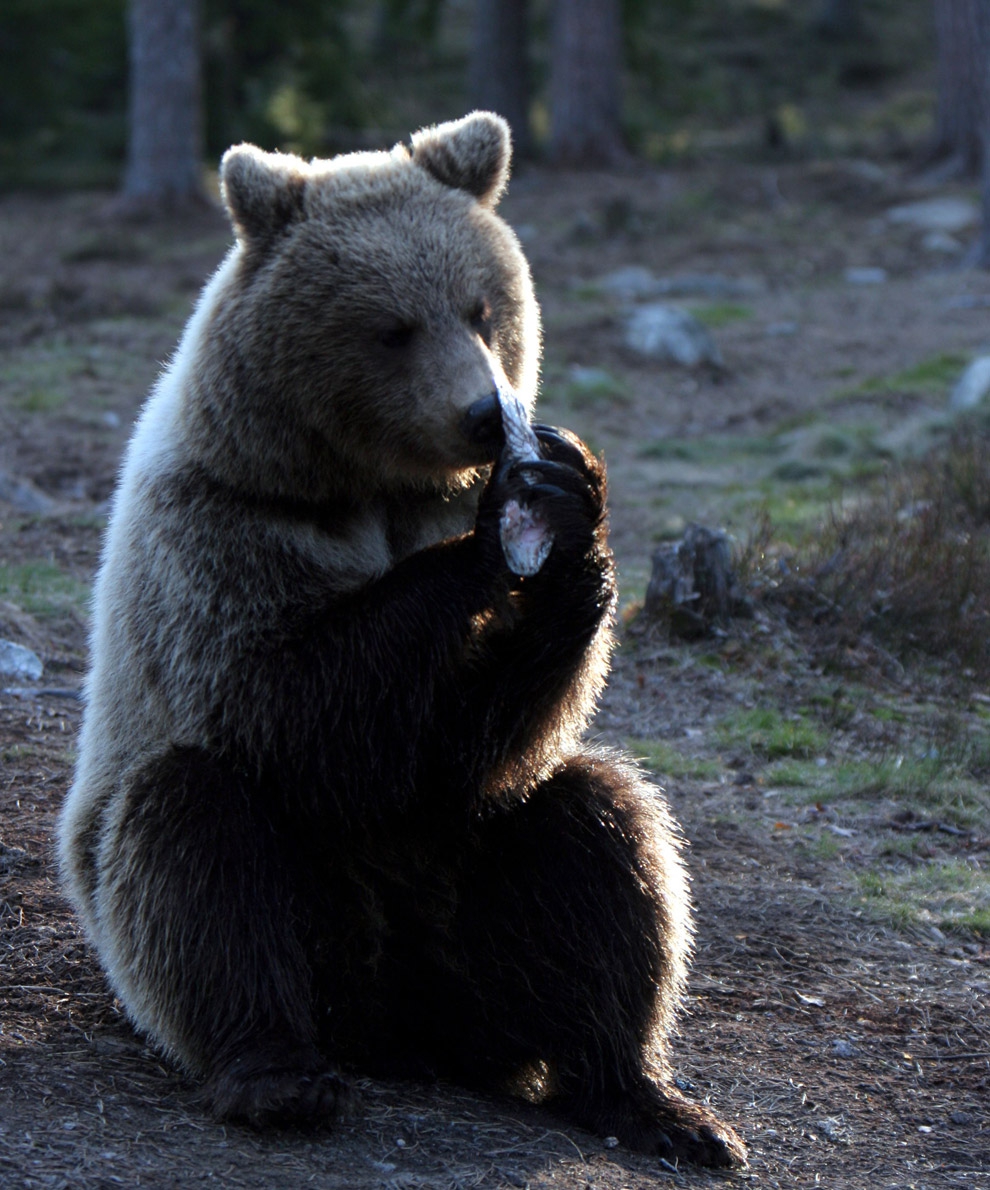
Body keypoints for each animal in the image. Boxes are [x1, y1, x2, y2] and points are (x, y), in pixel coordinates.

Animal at [55, 113, 742, 1170]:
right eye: (391, 326)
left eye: (482, 307)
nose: (483, 413)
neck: (370, 487)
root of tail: (406, 1031)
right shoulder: (223, 529)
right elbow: (291, 704)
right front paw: (495, 536)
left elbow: (479, 741)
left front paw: (567, 503)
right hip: (282, 919)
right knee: (191, 841)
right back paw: (275, 1074)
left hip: (471, 919)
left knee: (601, 830)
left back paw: (650, 1097)